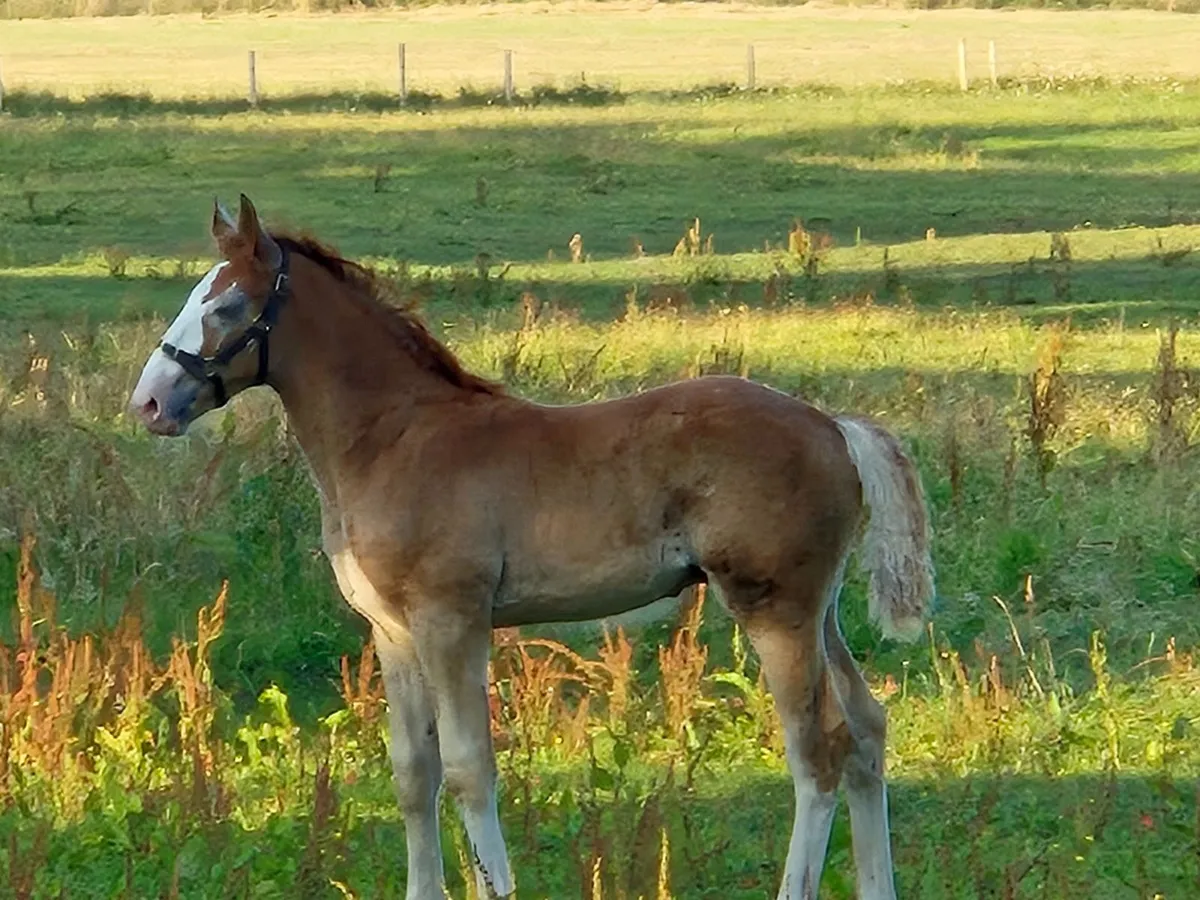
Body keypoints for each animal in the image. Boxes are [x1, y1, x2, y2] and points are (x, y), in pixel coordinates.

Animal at [129, 195, 934, 900]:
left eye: (226, 307)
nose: (149, 403)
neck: (393, 439)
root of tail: (833, 426)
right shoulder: (392, 631)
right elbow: (413, 773)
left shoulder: (451, 619)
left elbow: (467, 769)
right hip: (817, 610)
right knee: (866, 732)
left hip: (774, 609)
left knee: (818, 754)